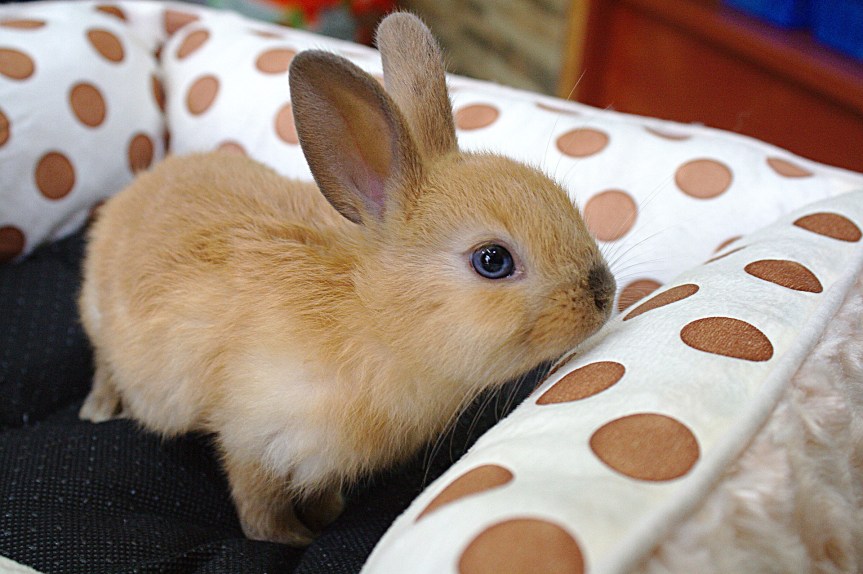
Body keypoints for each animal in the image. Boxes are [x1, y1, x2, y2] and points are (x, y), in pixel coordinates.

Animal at [77, 12, 616, 546]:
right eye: (492, 260)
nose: (604, 293)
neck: (373, 316)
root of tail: (130, 195)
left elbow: (318, 495)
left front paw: (327, 515)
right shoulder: (254, 438)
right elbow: (258, 509)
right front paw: (293, 540)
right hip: (105, 327)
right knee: (104, 363)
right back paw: (98, 410)